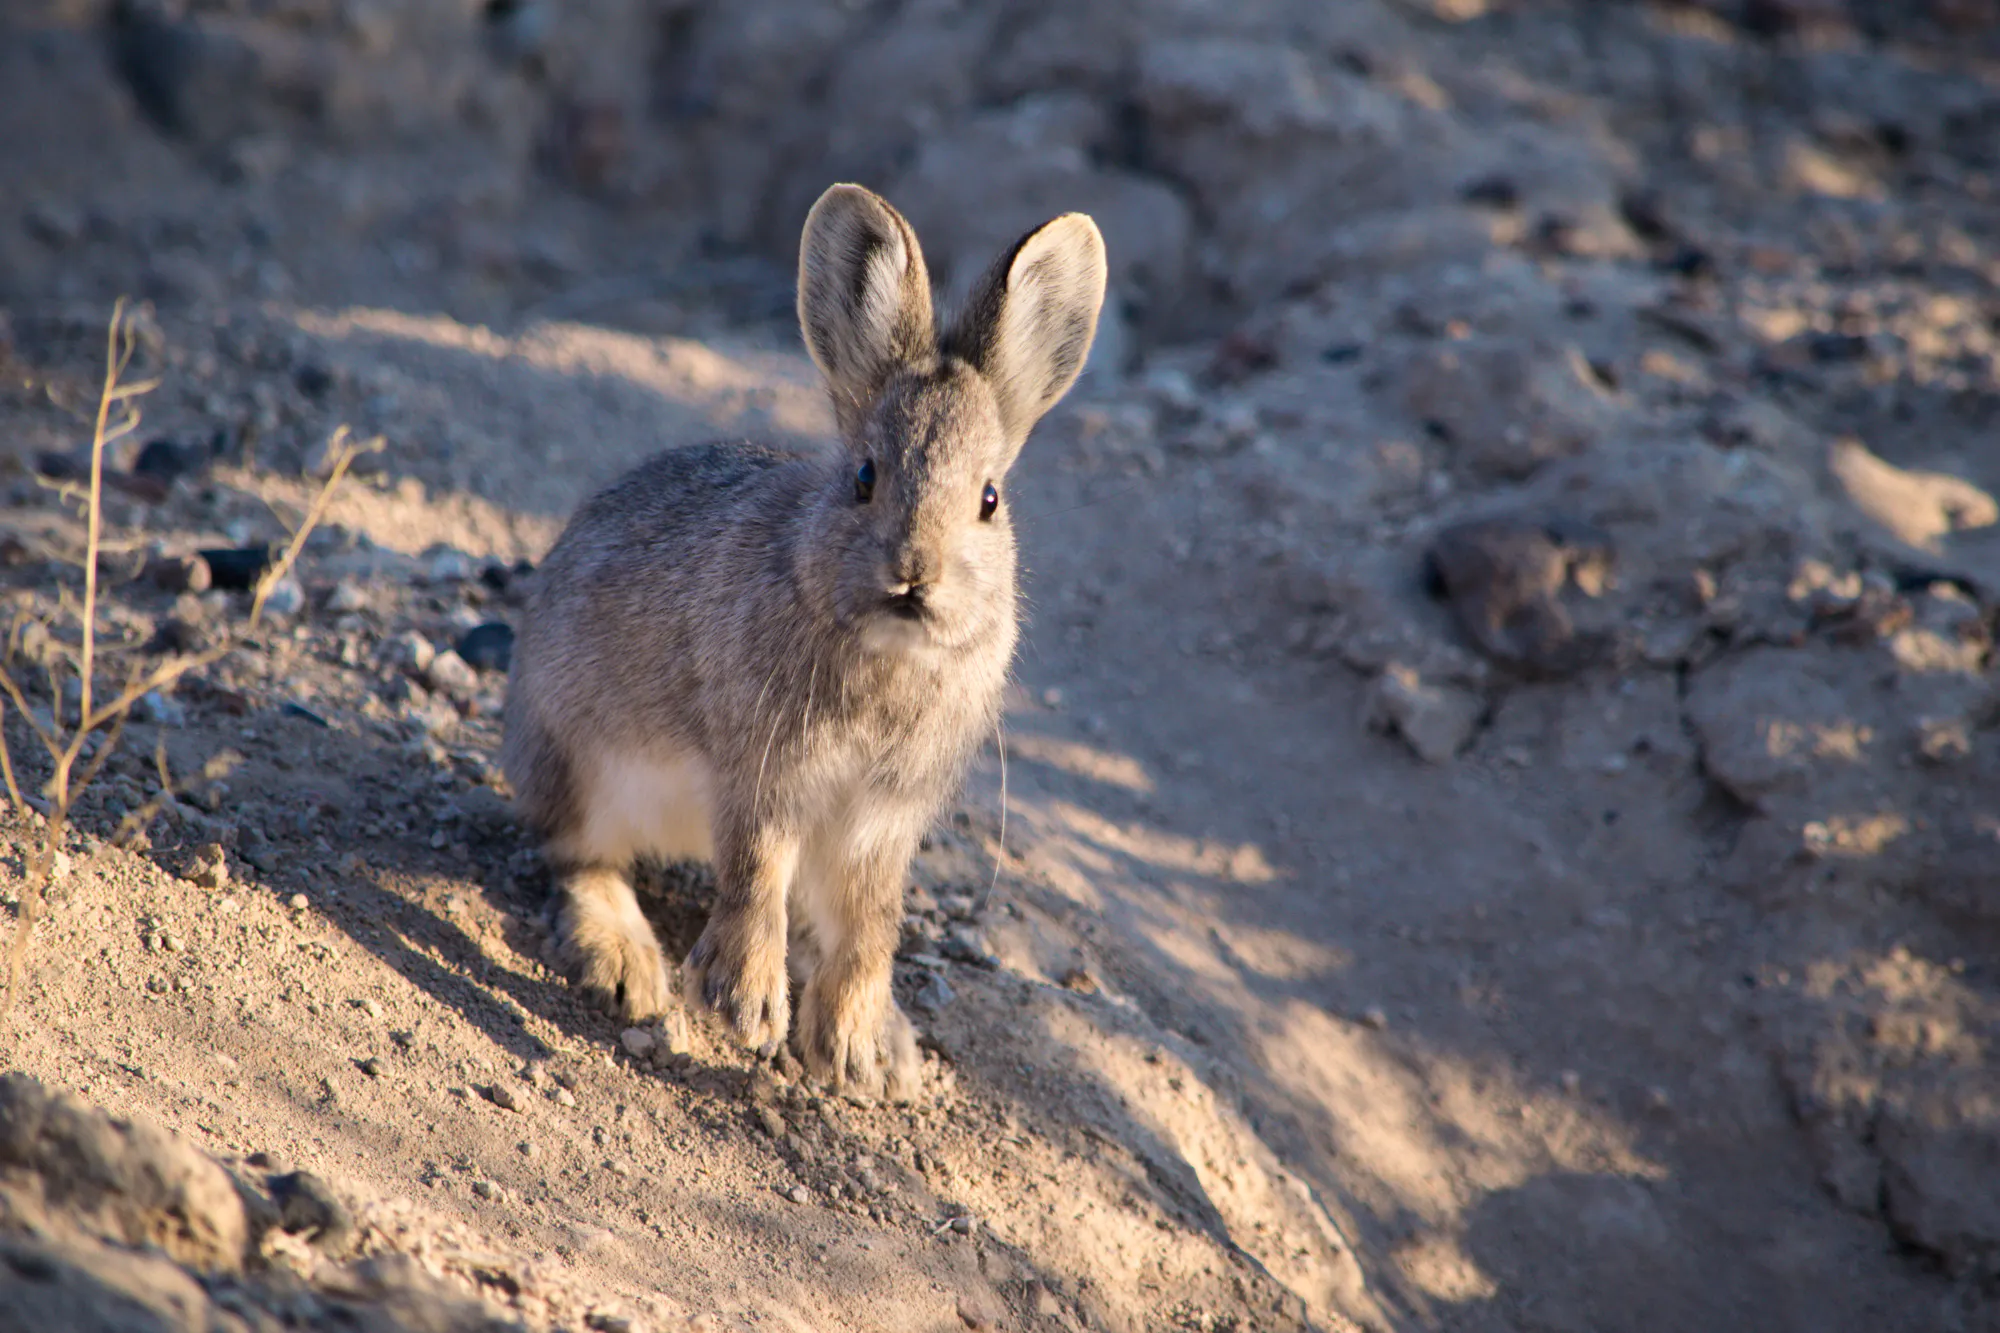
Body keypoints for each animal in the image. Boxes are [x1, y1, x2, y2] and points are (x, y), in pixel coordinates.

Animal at [501, 183, 1106, 1099]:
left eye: (989, 500)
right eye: (864, 477)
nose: (913, 573)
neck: (886, 651)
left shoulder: (882, 820)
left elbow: (871, 921)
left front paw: (853, 1047)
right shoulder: (765, 777)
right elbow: (757, 874)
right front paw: (745, 1006)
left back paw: (889, 1040)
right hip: (580, 760)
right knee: (580, 856)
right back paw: (627, 963)